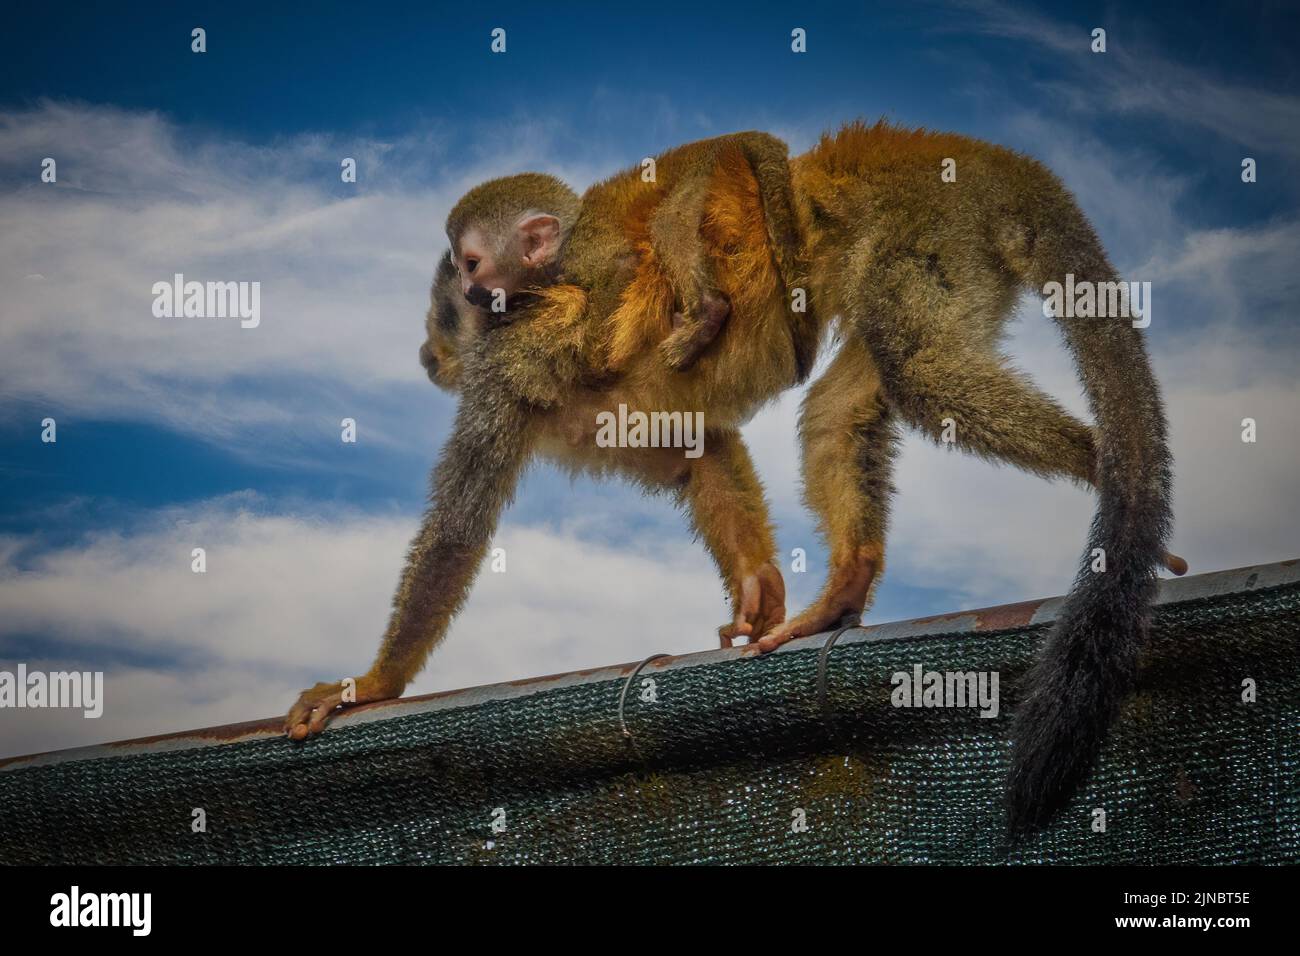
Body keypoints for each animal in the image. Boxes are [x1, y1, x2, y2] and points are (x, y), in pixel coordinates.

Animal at [289, 123, 1185, 832]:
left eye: (461, 283)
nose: (428, 349)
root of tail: (968, 155)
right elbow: (698, 454)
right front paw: (757, 588)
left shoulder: (511, 363)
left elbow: (458, 532)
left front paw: (370, 684)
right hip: (948, 257)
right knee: (845, 402)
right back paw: (845, 585)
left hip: (926, 226)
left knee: (917, 369)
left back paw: (1114, 468)